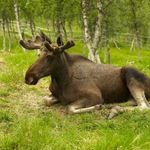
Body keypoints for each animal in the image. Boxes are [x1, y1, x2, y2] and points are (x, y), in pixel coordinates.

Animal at [19, 32, 150, 117]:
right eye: (38, 54)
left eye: (50, 56)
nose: (28, 77)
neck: (62, 79)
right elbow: (46, 100)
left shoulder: (95, 96)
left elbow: (69, 108)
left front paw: (97, 107)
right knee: (135, 101)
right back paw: (111, 105)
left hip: (130, 72)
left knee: (144, 106)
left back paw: (114, 109)